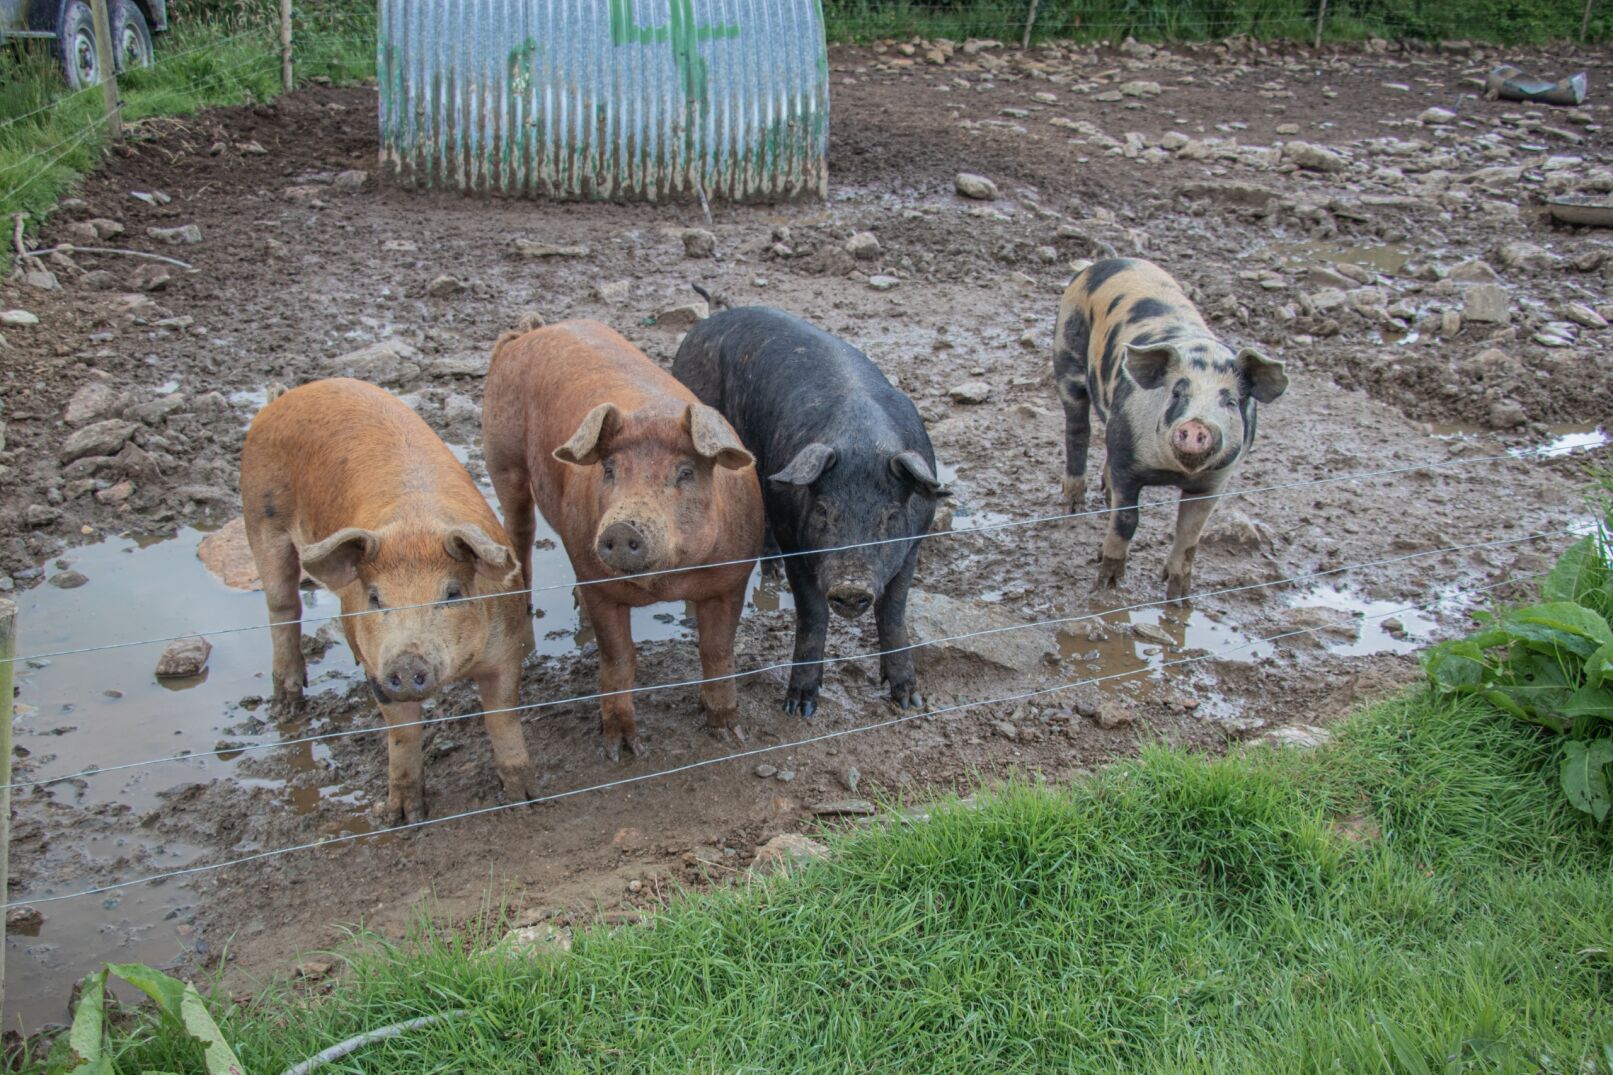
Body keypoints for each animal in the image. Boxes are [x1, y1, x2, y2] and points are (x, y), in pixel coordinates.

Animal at [240, 378, 536, 824]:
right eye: (376, 598)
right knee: (282, 607)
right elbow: (402, 735)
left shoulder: (505, 649)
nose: (407, 662)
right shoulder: (377, 670)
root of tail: (292, 394)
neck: (416, 525)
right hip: (260, 515)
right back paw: (289, 705)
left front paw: (524, 799)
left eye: (452, 593)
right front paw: (402, 817)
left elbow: (502, 718)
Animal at [481, 320, 762, 761]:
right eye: (610, 469)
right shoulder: (601, 584)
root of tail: (530, 332)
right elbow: (618, 659)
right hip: (502, 457)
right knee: (520, 530)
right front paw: (624, 751)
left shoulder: (731, 580)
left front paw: (730, 733)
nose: (621, 527)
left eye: (685, 472)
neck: (666, 581)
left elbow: (716, 652)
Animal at [673, 306, 948, 718]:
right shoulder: (797, 546)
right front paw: (798, 708)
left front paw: (909, 701)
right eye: (822, 510)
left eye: (889, 516)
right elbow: (813, 616)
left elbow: (893, 613)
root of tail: (705, 324)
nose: (851, 585)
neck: (862, 440)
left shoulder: (913, 545)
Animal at [1053, 258, 1289, 599]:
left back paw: (1105, 497)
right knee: (1077, 430)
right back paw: (1073, 505)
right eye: (1178, 392)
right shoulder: (1128, 464)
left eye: (1230, 401)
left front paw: (1179, 598)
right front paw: (1107, 584)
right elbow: (1127, 520)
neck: (1173, 471)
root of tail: (1114, 260)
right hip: (1067, 355)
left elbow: (1190, 535)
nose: (1196, 424)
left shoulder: (1215, 480)